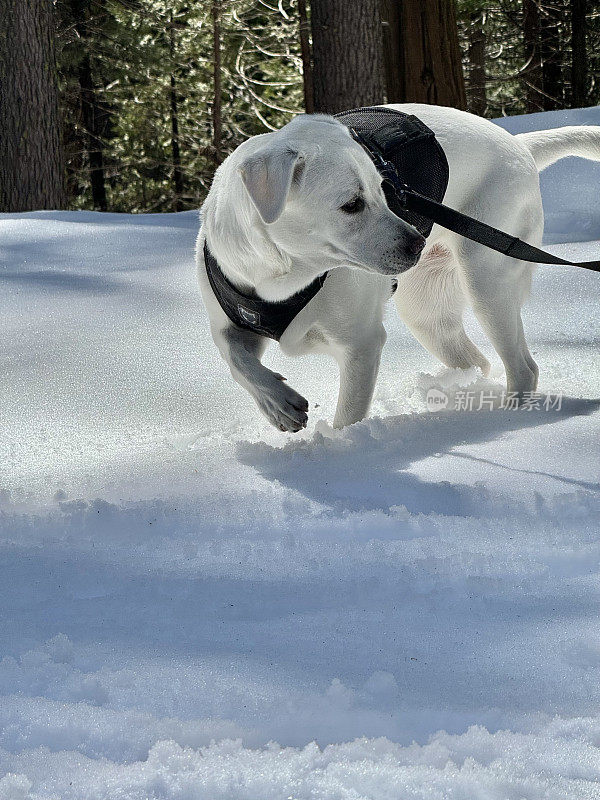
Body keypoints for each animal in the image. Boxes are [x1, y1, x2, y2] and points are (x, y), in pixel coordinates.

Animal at [198, 106, 600, 434]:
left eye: (383, 189)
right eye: (352, 204)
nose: (417, 244)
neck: (283, 277)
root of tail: (519, 145)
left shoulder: (360, 344)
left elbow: (349, 415)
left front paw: (339, 449)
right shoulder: (228, 324)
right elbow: (237, 360)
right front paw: (278, 404)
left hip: (486, 281)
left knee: (522, 367)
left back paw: (508, 419)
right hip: (426, 312)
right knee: (478, 362)